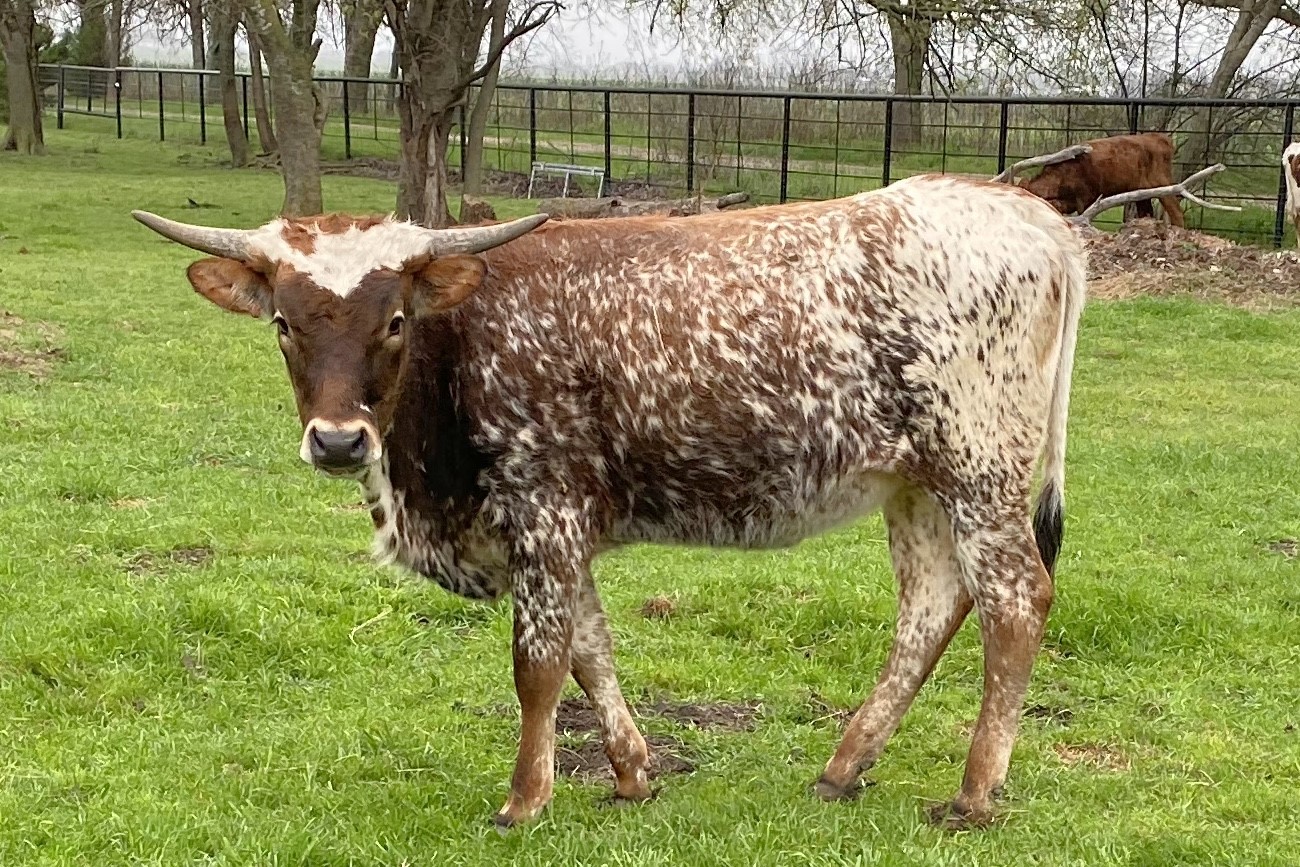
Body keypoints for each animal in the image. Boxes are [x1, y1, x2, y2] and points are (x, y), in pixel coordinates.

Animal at [132, 173, 1086, 831]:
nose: (337, 441)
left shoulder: (544, 511)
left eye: (394, 319)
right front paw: (631, 773)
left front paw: (524, 800)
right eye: (283, 323)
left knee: (1015, 601)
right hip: (915, 483)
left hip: (979, 468)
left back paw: (974, 792)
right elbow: (592, 651)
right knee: (932, 605)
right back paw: (845, 765)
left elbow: (540, 666)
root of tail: (1024, 210)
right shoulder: (561, 533)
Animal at [1018, 132, 1185, 227]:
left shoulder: (1085, 198)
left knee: (1176, 209)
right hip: (1142, 192)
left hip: (1163, 184)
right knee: (1147, 211)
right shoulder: (1069, 201)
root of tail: (1158, 137)